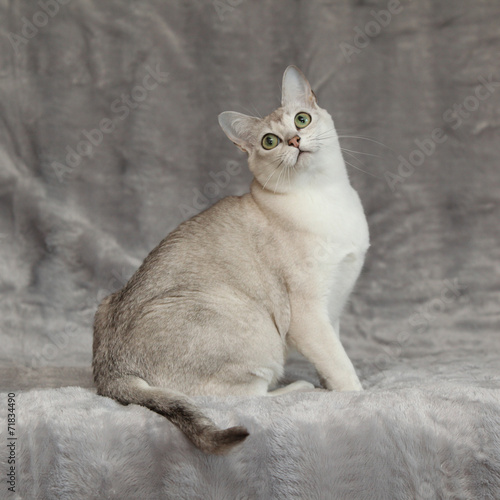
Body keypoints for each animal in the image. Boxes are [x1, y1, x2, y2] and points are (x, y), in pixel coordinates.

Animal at [92, 67, 370, 458]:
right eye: (269, 141)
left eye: (302, 119)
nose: (294, 140)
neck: (326, 197)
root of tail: (109, 376)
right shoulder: (309, 315)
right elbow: (340, 364)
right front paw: (355, 395)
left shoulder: (335, 308)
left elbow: (333, 358)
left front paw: (330, 384)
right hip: (256, 327)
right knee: (241, 398)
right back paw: (299, 388)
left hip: (105, 303)